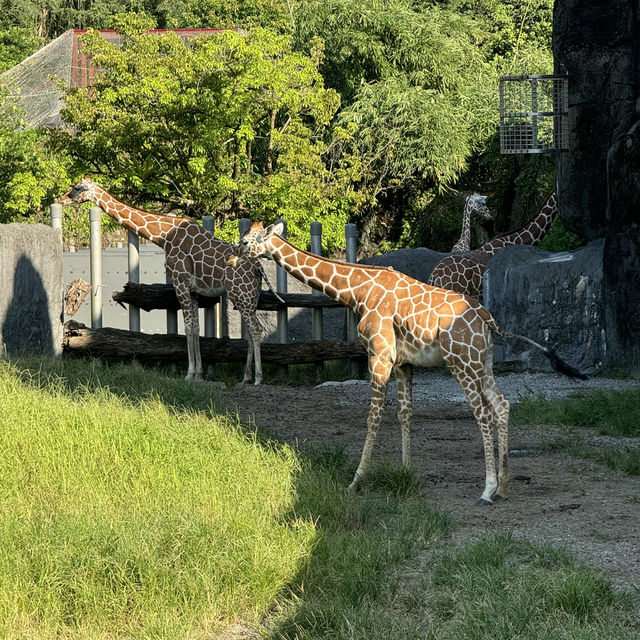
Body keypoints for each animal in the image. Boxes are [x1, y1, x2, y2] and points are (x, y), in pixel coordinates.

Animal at [60, 175, 268, 382]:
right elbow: (196, 327)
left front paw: (190, 374)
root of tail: (258, 268)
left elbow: (189, 327)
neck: (165, 237)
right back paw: (246, 377)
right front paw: (199, 374)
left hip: (240, 293)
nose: (62, 199)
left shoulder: (180, 282)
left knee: (256, 329)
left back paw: (258, 378)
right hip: (250, 297)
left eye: (77, 188)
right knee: (251, 331)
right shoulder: (192, 289)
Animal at [229, 220, 584, 504]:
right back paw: (505, 487)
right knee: (502, 404)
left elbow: (373, 418)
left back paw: (486, 491)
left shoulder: (378, 356)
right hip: (481, 363)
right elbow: (404, 414)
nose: (232, 257)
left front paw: (355, 481)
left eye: (245, 241)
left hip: (460, 362)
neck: (356, 291)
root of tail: (486, 318)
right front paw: (406, 471)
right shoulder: (402, 363)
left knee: (482, 412)